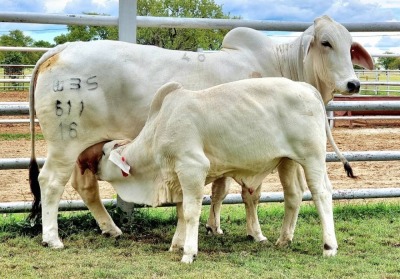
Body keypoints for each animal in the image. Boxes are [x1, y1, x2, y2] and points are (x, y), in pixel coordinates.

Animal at [78, 77, 338, 264]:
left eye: (103, 152)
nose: (84, 161)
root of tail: (306, 87)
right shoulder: (178, 178)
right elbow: (181, 212)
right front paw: (176, 244)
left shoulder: (192, 168)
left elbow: (191, 212)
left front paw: (189, 253)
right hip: (287, 161)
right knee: (293, 195)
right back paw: (283, 240)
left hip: (312, 158)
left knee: (322, 193)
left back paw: (329, 246)